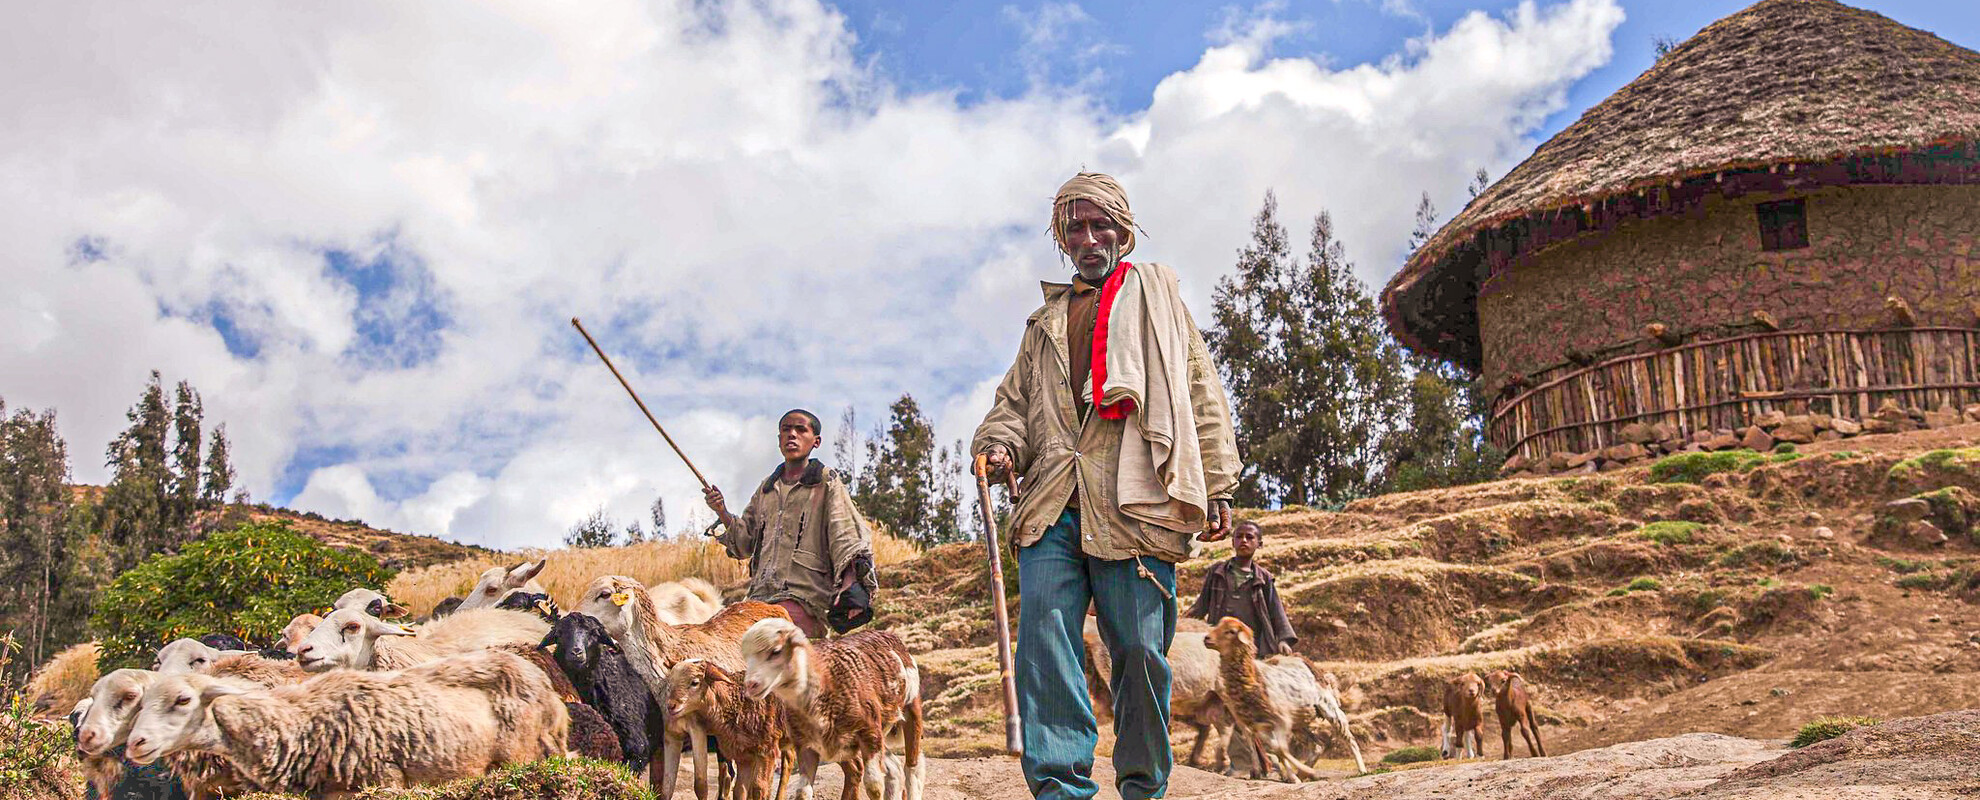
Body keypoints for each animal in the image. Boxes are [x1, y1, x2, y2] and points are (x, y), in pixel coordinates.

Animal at [665, 657, 788, 800]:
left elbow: (759, 788)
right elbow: (740, 790)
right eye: (670, 682)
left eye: (695, 682)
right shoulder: (743, 754)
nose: (671, 706)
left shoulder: (767, 750)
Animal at [744, 621, 926, 800]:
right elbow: (803, 792)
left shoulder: (869, 733)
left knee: (912, 769)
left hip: (910, 708)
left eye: (776, 651)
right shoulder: (806, 745)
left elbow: (874, 786)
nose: (751, 684)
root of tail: (887, 634)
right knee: (895, 769)